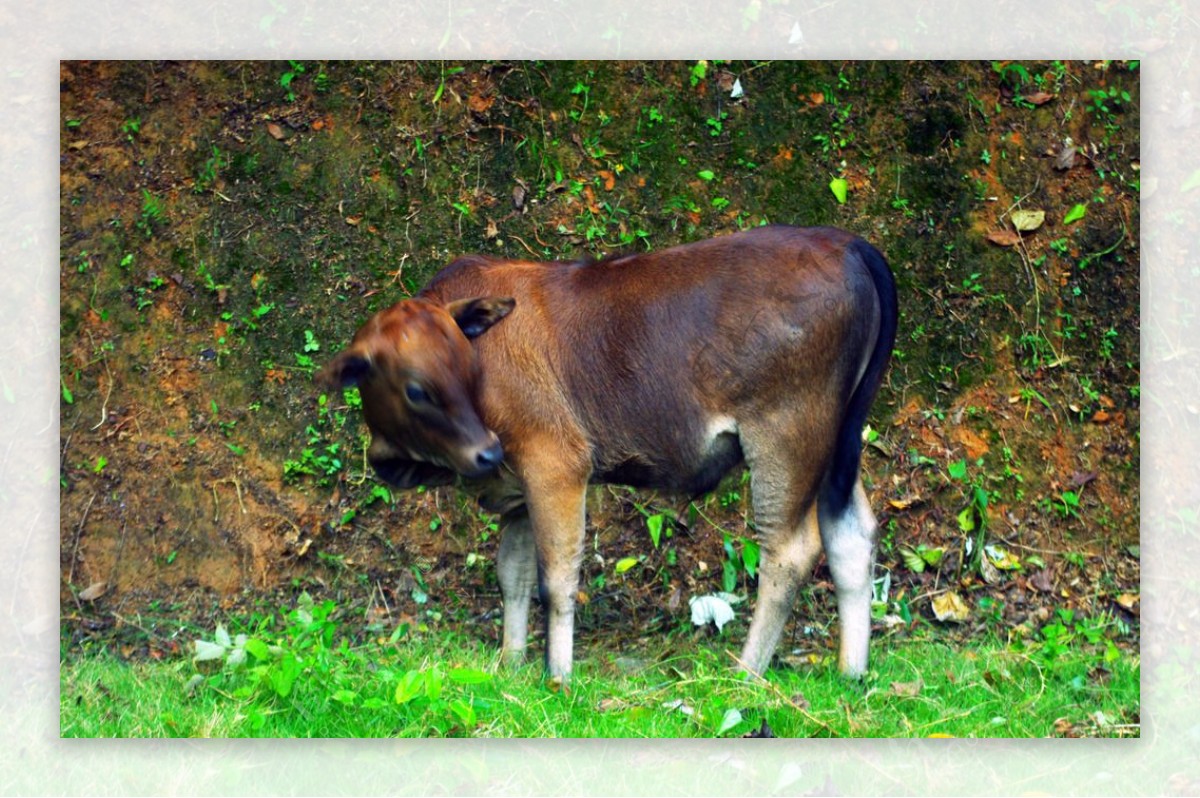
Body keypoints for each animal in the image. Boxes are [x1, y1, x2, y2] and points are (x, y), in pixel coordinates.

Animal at [324, 224, 897, 676]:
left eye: (468, 366)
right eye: (416, 389)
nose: (485, 452)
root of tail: (848, 244)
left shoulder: (556, 464)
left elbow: (555, 579)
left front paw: (557, 677)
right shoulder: (517, 489)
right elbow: (512, 575)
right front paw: (511, 663)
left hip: (787, 437)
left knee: (789, 552)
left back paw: (745, 672)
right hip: (838, 445)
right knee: (852, 537)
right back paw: (851, 672)